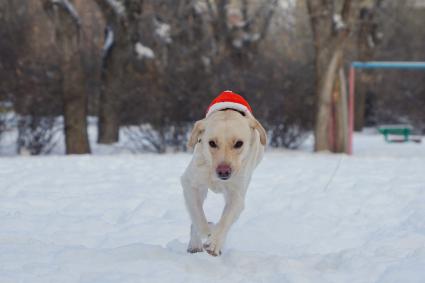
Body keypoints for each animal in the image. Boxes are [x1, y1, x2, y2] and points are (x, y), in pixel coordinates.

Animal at [180, 91, 264, 258]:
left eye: (239, 143)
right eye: (212, 143)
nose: (223, 171)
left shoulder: (236, 195)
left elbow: (225, 220)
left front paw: (214, 243)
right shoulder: (191, 184)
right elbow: (199, 218)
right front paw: (208, 231)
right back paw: (195, 244)